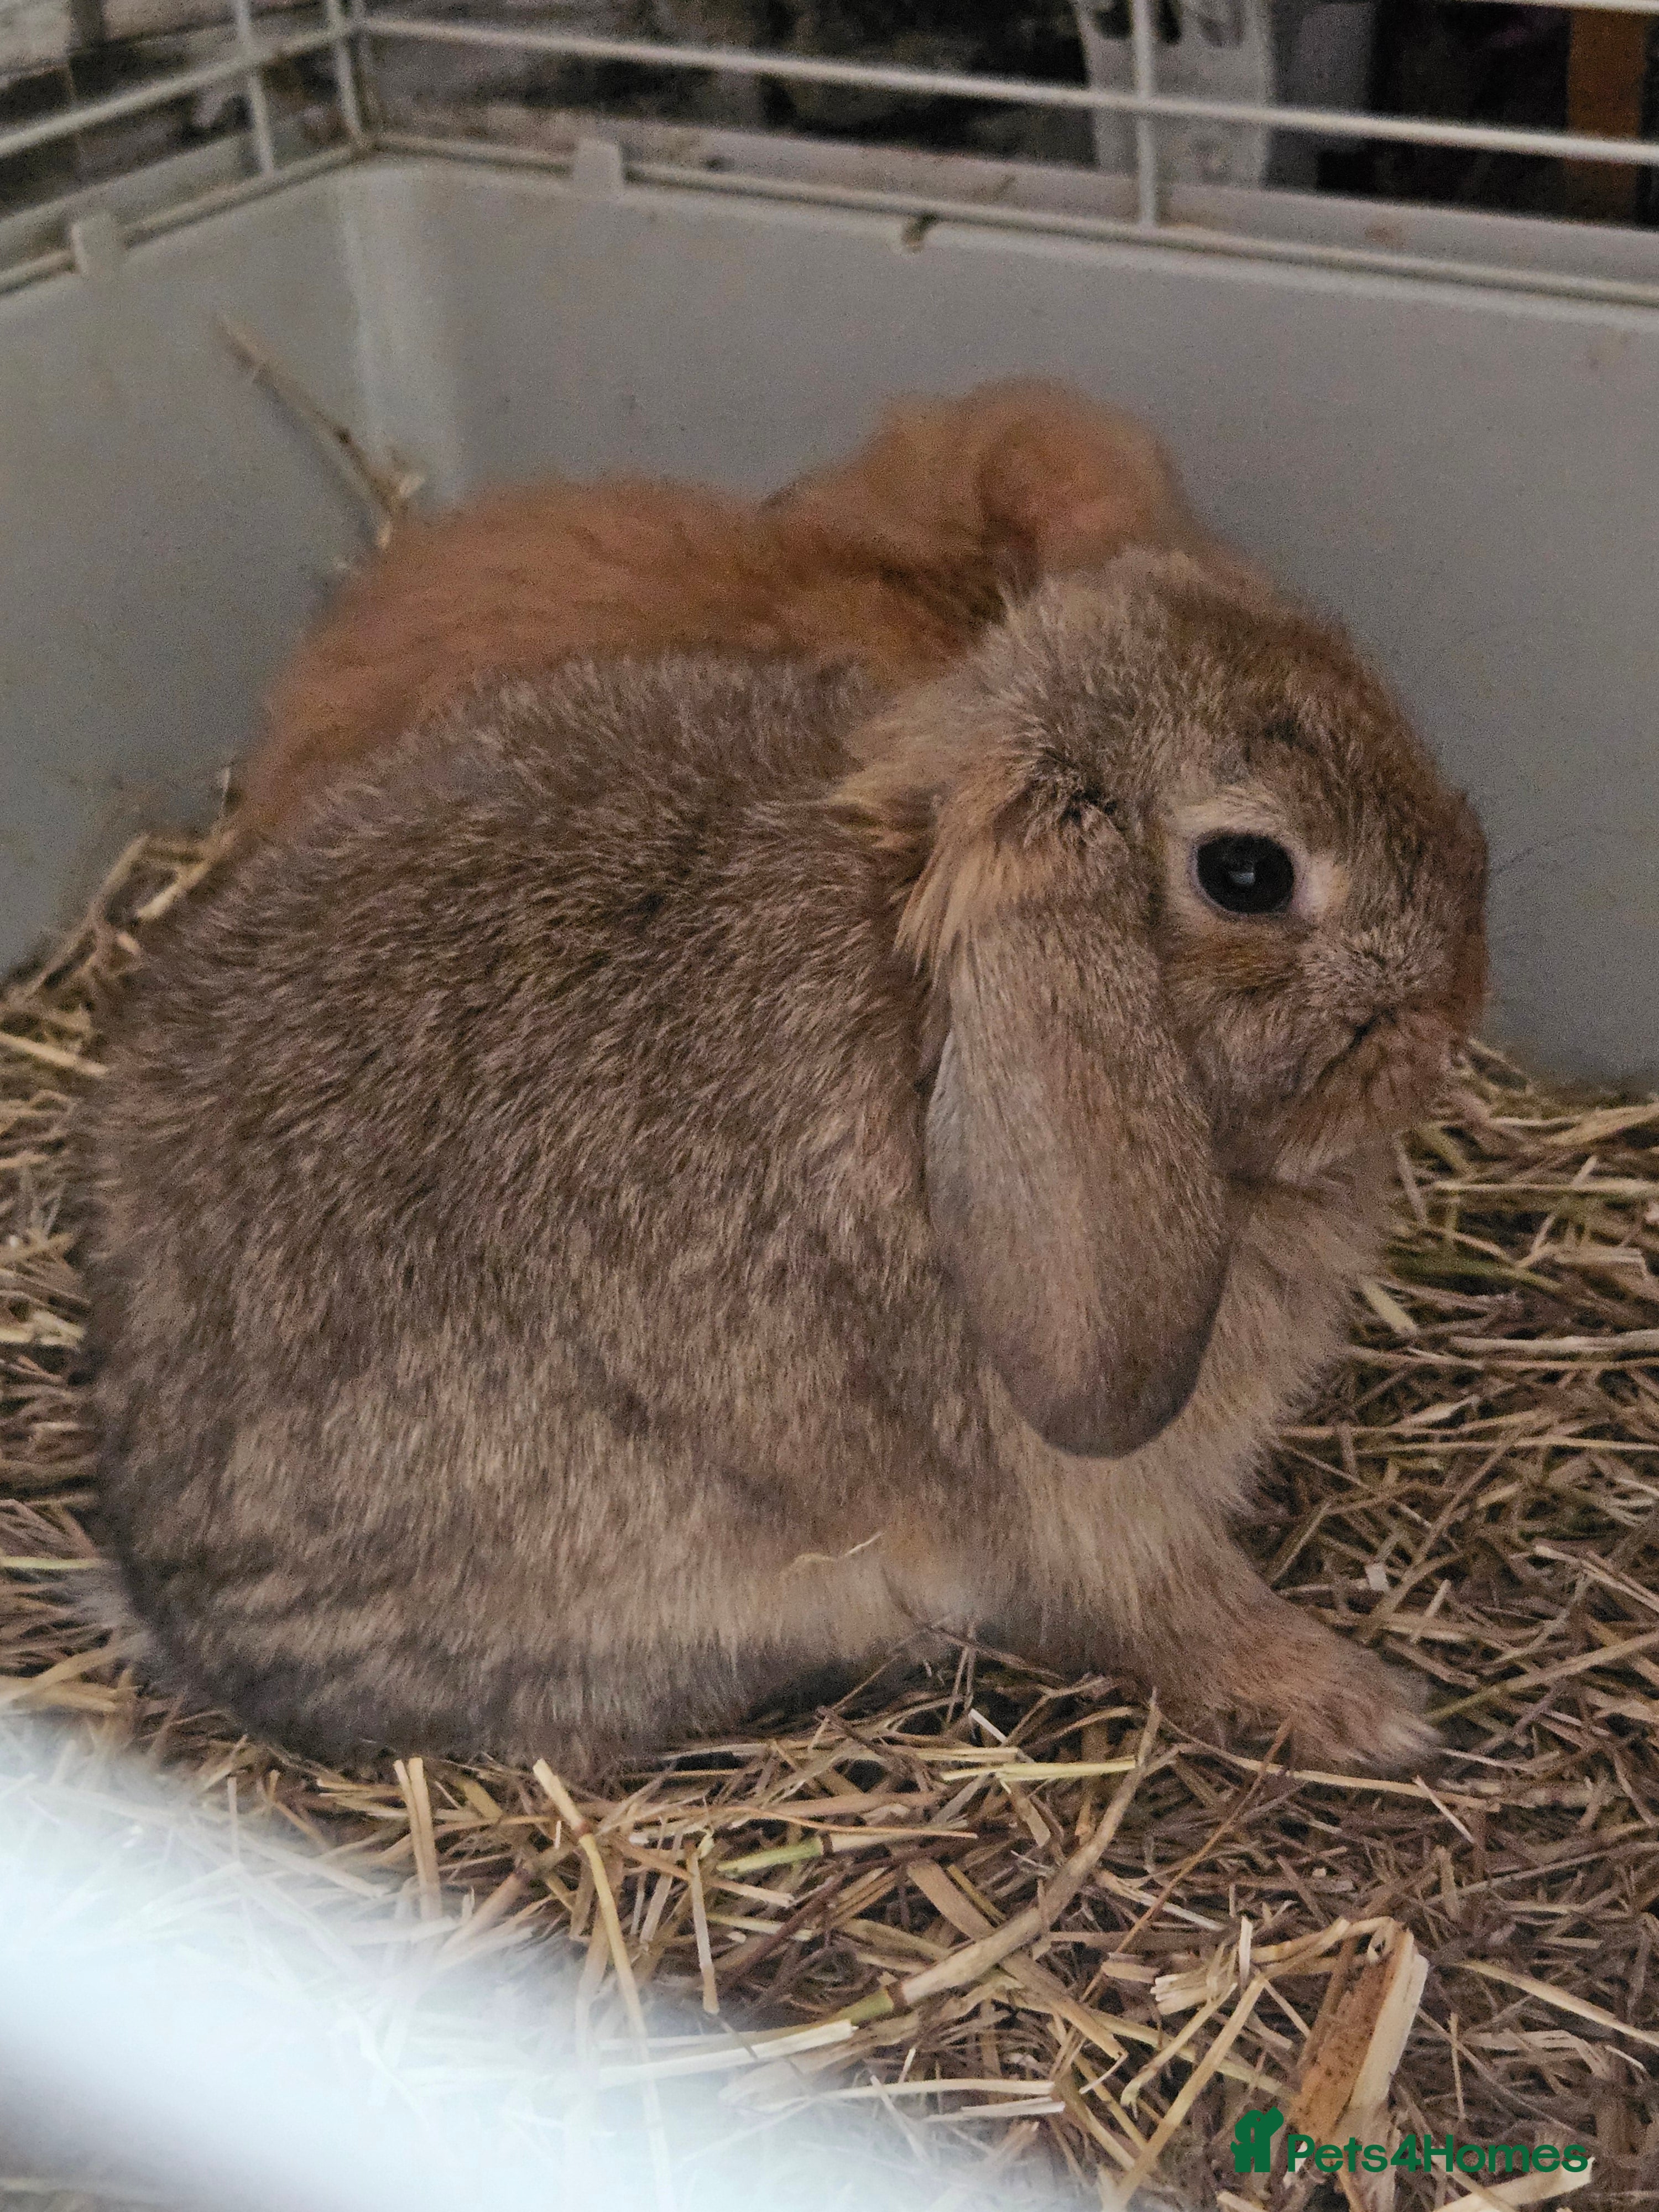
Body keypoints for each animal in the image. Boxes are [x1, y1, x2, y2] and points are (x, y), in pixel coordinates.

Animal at [85, 545, 1487, 1777]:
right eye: (1246, 871)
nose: (1456, 1006)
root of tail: (164, 1591)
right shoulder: (1089, 1495)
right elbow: (1171, 1607)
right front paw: (1363, 1708)